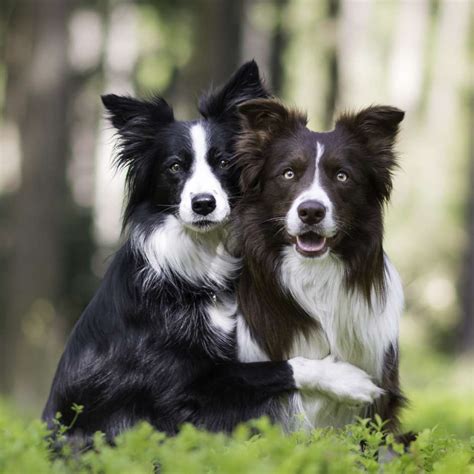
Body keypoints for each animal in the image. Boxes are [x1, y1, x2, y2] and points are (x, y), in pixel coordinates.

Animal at [42, 61, 380, 442]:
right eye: (175, 166)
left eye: (224, 162)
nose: (203, 203)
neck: (197, 265)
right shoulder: (179, 388)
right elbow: (278, 367)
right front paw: (348, 379)